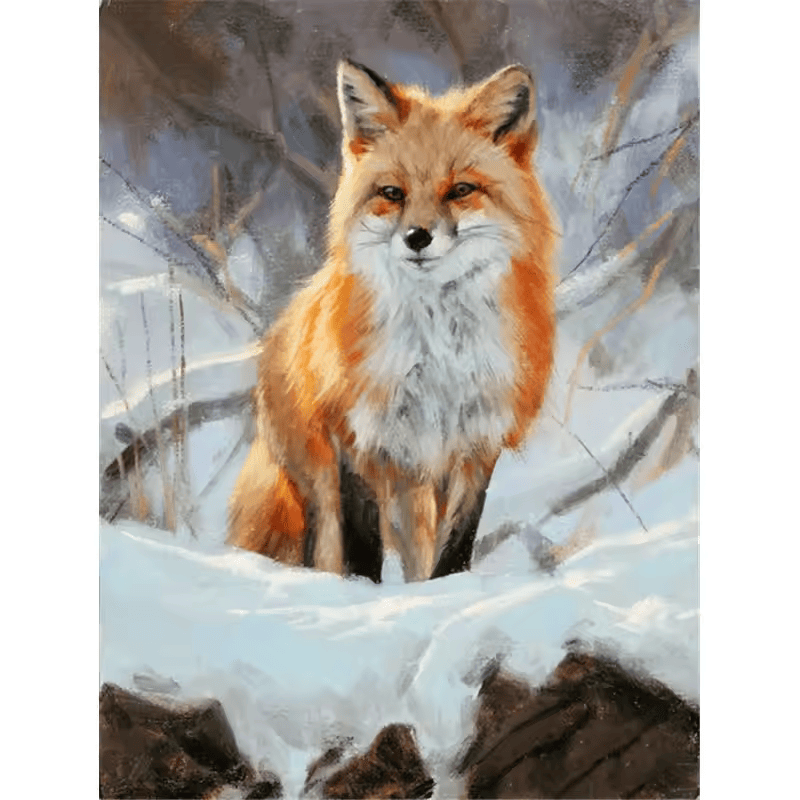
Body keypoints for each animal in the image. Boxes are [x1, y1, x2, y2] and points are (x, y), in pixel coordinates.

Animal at [228, 60, 556, 582]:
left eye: (460, 190)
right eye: (392, 194)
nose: (417, 237)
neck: (436, 356)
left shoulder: (474, 443)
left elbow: (455, 548)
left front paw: (445, 592)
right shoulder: (357, 438)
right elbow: (360, 546)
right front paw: (361, 594)